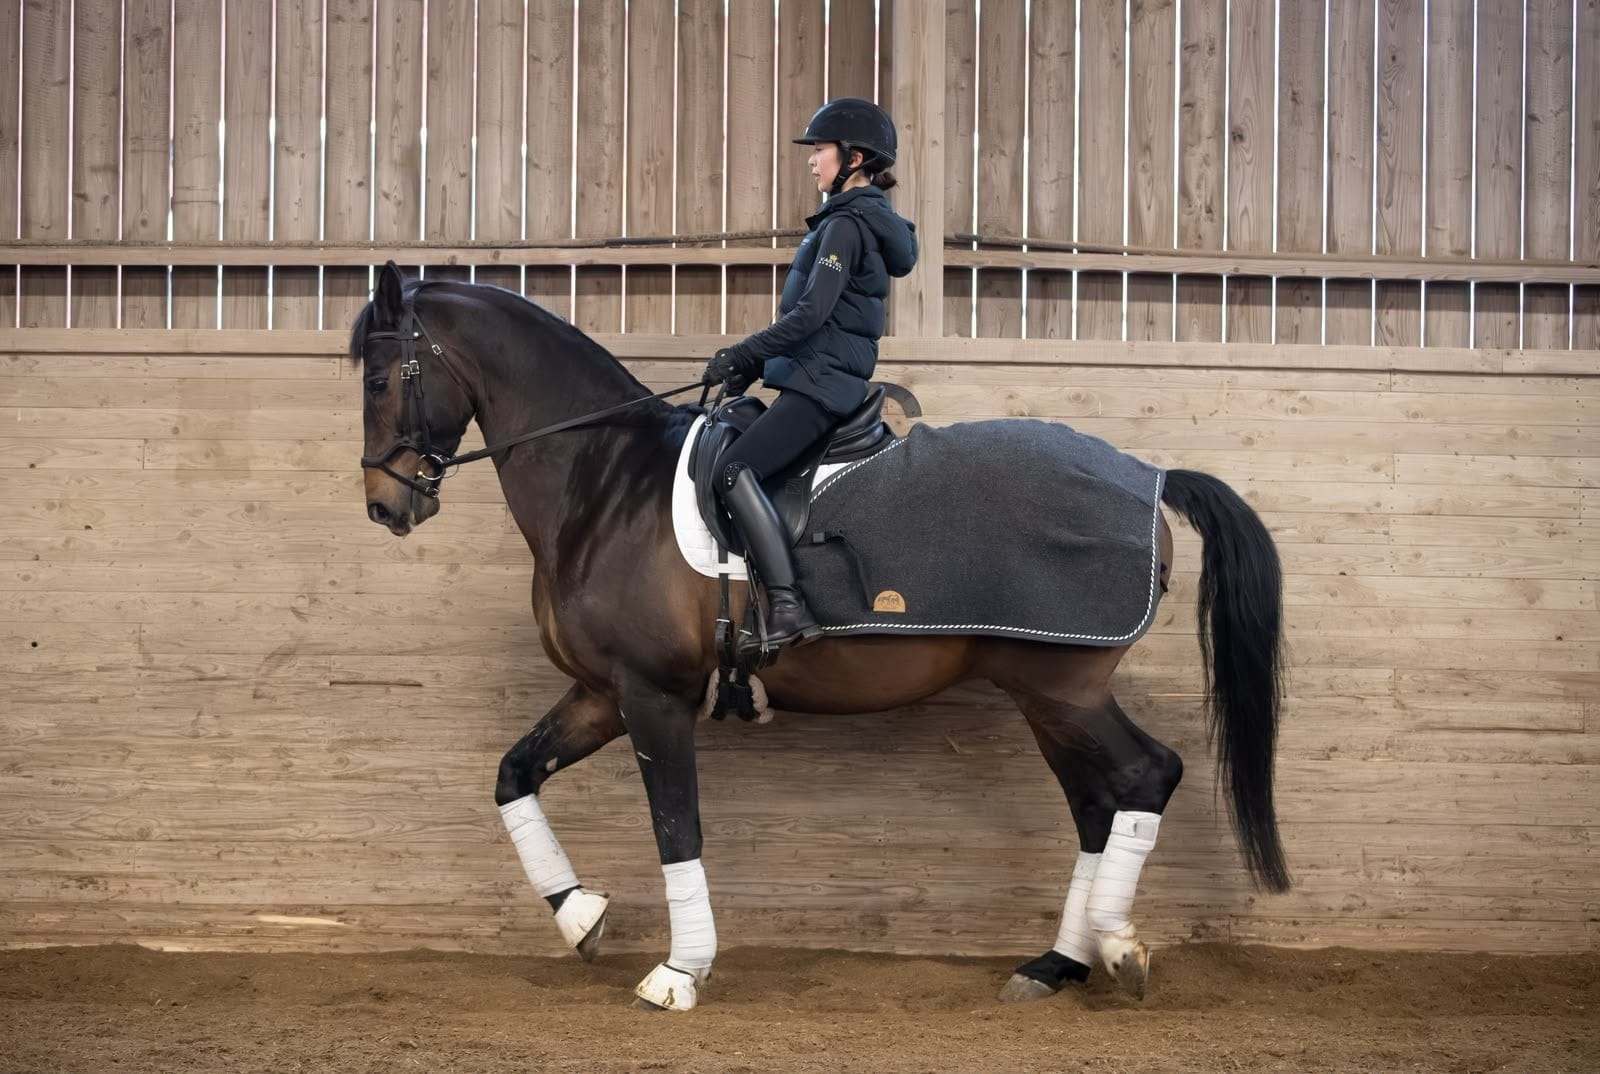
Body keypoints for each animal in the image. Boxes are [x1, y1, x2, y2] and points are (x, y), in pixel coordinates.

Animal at [351, 261, 1289, 1011]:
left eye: (379, 379)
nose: (386, 507)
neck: (604, 483)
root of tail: (1152, 476)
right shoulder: (601, 692)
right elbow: (514, 775)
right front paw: (581, 915)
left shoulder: (652, 695)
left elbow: (676, 828)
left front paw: (680, 973)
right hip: (1045, 692)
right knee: (1097, 803)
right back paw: (1055, 964)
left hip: (1064, 685)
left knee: (1145, 775)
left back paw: (1117, 947)